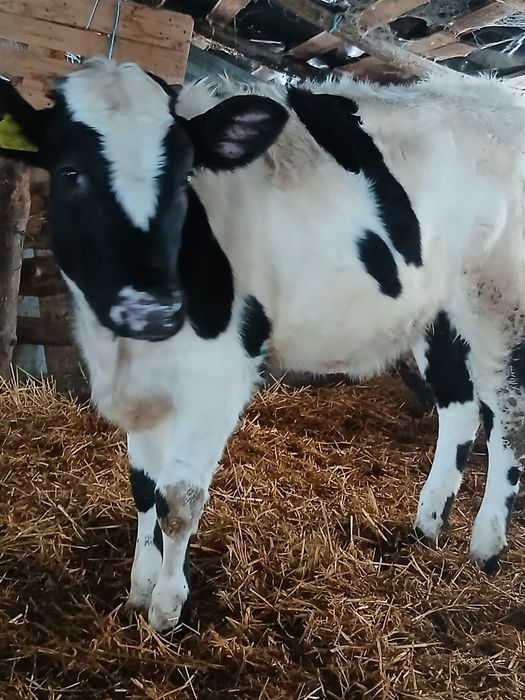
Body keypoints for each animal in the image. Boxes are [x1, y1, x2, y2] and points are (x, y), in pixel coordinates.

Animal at [1, 57, 524, 632]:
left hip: (499, 303)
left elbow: (178, 502)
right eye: (70, 173)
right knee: (458, 407)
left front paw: (167, 608)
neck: (123, 352)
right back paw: (427, 526)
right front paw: (139, 589)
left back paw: (487, 547)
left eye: (184, 177)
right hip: (439, 312)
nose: (152, 310)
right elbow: (144, 489)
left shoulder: (218, 376)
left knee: (507, 416)